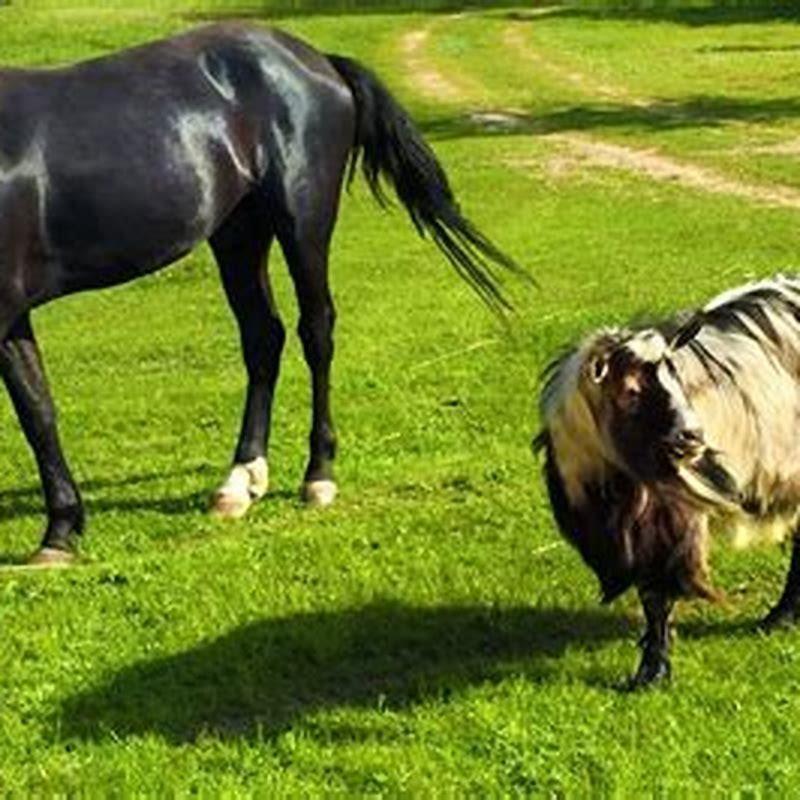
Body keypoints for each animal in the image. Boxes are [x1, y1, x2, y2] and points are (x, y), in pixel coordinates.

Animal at [0, 23, 527, 565]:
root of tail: (318, 61)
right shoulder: (13, 315)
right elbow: (37, 410)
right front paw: (61, 531)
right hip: (238, 231)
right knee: (263, 338)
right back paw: (240, 481)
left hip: (303, 222)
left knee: (316, 332)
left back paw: (318, 477)